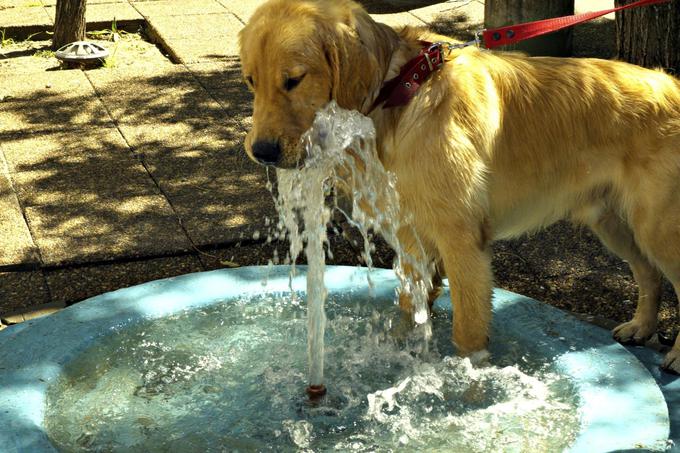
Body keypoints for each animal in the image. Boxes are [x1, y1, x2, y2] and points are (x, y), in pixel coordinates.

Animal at [242, 0, 680, 370]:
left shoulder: (462, 240)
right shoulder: (412, 238)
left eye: (294, 80)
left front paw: (468, 382)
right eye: (250, 81)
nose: (261, 152)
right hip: (614, 224)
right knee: (649, 274)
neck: (400, 92)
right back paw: (641, 327)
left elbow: (467, 332)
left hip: (658, 229)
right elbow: (410, 309)